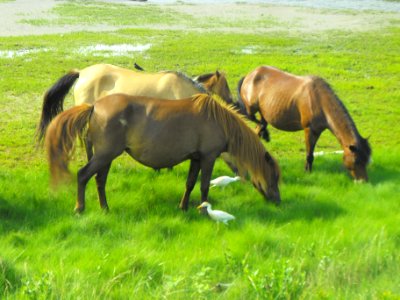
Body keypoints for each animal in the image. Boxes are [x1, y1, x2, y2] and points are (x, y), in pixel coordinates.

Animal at [44, 94, 282, 213]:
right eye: (273, 177)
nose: (278, 202)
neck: (219, 121)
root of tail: (94, 106)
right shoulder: (208, 157)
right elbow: (204, 186)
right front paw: (204, 211)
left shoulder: (196, 158)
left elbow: (190, 183)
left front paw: (183, 207)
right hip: (104, 155)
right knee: (83, 175)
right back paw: (80, 208)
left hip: (106, 157)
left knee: (100, 181)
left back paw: (105, 208)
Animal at [238, 65, 372, 180]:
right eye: (356, 161)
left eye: (367, 160)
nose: (363, 181)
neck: (320, 100)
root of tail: (249, 75)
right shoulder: (309, 129)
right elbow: (309, 154)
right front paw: (307, 172)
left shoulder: (317, 131)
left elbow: (311, 154)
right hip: (252, 109)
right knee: (253, 120)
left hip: (264, 114)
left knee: (258, 128)